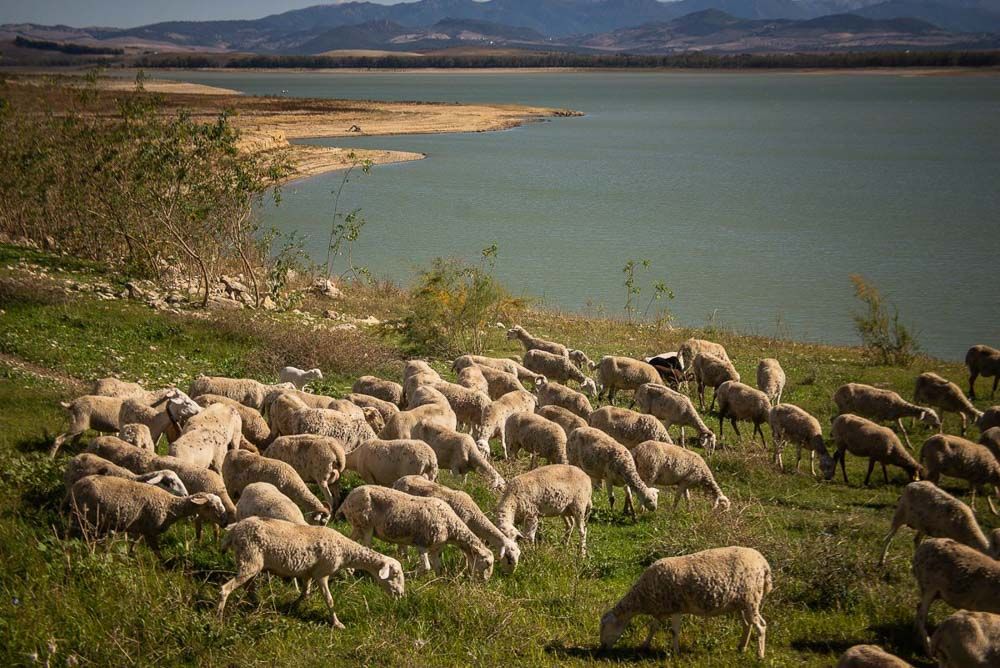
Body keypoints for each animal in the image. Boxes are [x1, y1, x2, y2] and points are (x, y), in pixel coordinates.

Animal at [66, 475, 227, 557]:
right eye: (211, 507)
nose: (225, 523)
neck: (170, 505)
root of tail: (76, 485)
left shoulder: (140, 528)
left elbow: (134, 544)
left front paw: (131, 556)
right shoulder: (150, 531)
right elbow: (158, 553)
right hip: (86, 518)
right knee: (85, 537)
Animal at [218, 517, 405, 627]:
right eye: (395, 575)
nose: (401, 595)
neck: (344, 551)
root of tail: (234, 530)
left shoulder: (307, 572)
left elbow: (305, 593)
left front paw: (292, 607)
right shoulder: (322, 573)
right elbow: (329, 600)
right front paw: (337, 623)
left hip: (250, 562)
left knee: (248, 586)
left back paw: (254, 603)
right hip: (249, 559)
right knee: (225, 589)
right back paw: (218, 619)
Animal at [338, 485, 494, 580]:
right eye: (487, 563)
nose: (485, 582)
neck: (450, 526)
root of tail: (346, 501)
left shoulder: (435, 548)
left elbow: (438, 568)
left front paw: (439, 582)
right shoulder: (422, 543)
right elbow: (426, 567)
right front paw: (407, 575)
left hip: (358, 526)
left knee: (350, 541)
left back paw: (348, 571)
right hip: (366, 525)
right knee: (366, 547)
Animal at [392, 475, 520, 571]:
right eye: (509, 559)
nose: (508, 575)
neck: (475, 518)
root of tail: (400, 480)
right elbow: (465, 554)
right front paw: (464, 569)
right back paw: (405, 558)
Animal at [599, 546, 771, 658]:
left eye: (604, 626)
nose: (602, 648)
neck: (643, 597)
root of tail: (764, 564)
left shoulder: (676, 607)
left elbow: (674, 631)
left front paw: (675, 653)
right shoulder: (662, 608)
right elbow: (653, 628)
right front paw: (644, 645)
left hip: (752, 599)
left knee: (761, 626)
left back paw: (760, 655)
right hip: (741, 603)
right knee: (747, 624)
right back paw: (742, 647)